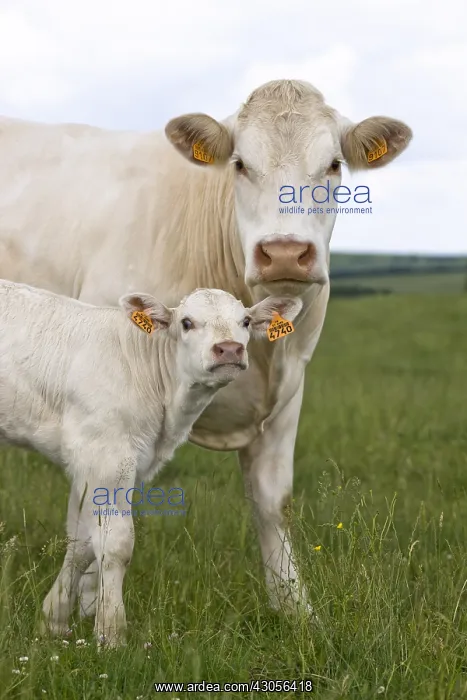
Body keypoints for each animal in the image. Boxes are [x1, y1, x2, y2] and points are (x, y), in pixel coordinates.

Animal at [0, 279, 302, 644]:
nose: (228, 350)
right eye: (186, 322)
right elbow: (115, 543)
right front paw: (111, 633)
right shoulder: (106, 455)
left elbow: (81, 541)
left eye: (244, 321)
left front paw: (52, 620)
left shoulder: (102, 464)